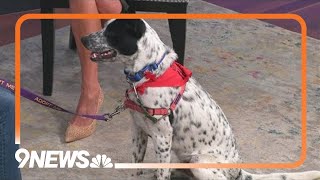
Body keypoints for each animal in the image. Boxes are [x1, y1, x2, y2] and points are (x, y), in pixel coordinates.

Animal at [81, 19, 320, 180]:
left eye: (111, 33)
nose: (83, 38)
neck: (149, 74)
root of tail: (238, 171)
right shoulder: (138, 130)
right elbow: (135, 168)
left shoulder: (162, 137)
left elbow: (161, 173)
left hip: (199, 163)